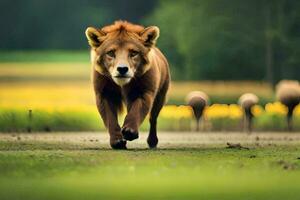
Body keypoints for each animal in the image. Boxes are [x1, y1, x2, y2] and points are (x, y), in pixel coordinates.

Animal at [85, 21, 170, 149]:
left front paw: (129, 131)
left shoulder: (144, 91)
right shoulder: (104, 94)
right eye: (111, 53)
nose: (122, 69)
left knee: (153, 118)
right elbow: (110, 118)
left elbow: (137, 110)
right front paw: (117, 141)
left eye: (133, 53)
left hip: (161, 96)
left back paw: (152, 142)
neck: (122, 85)